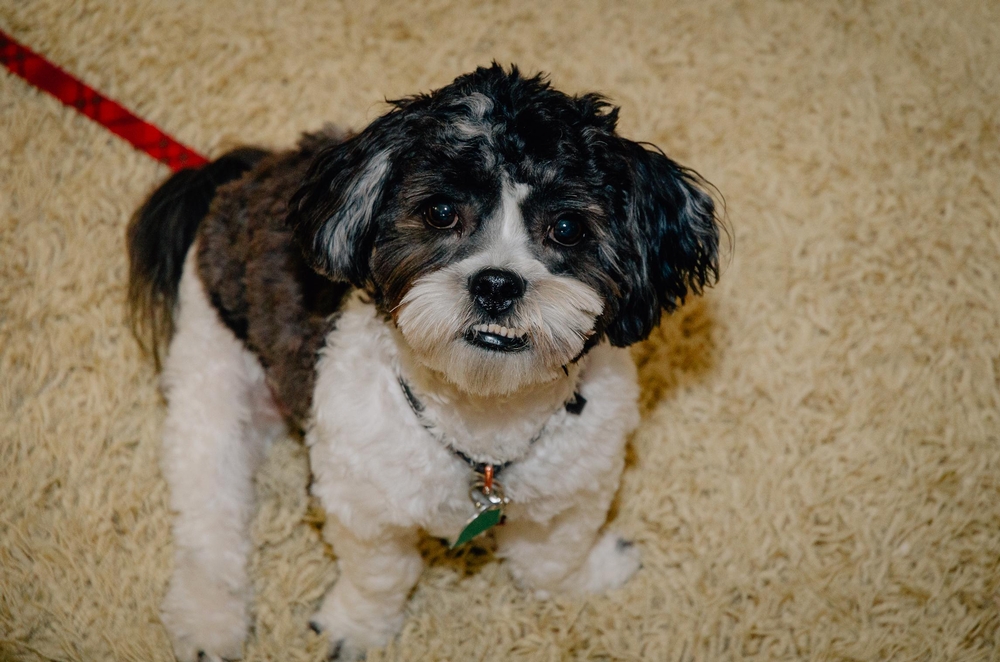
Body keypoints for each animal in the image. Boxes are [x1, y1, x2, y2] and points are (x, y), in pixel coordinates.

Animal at [129, 63, 720, 662]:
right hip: (212, 380)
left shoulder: (578, 484)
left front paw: (591, 574)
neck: (485, 421)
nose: (496, 284)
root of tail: (236, 177)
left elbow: (552, 561)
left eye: (568, 227)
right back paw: (208, 618)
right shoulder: (361, 499)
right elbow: (380, 575)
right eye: (440, 212)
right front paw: (356, 628)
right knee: (210, 518)